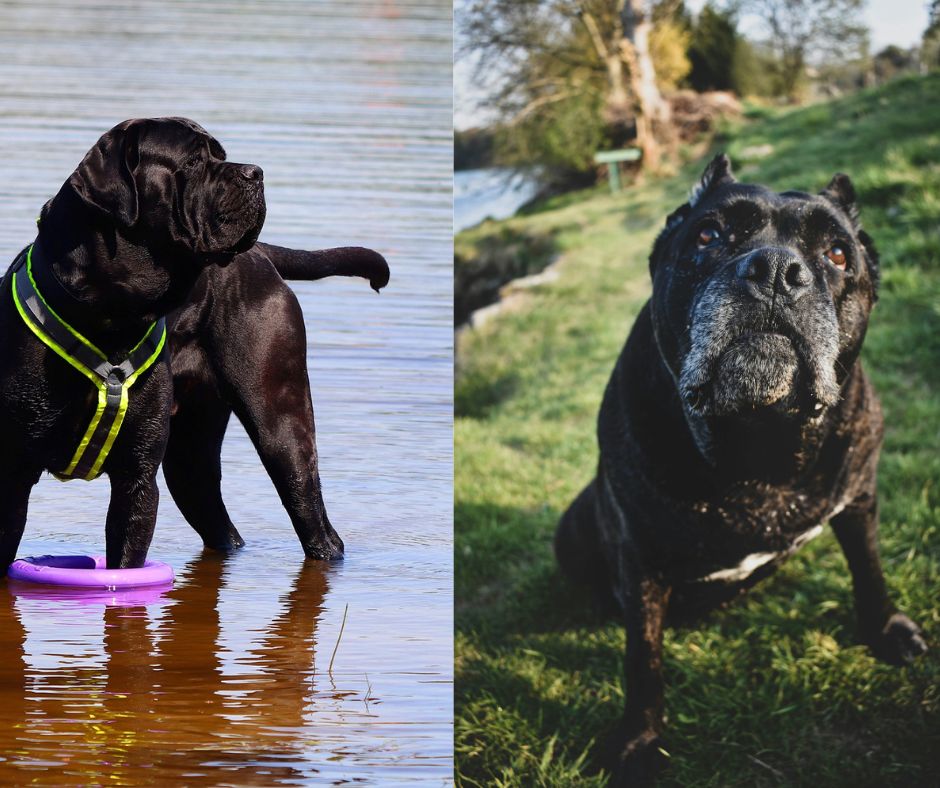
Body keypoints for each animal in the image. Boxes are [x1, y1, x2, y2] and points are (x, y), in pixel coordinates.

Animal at [0, 117, 388, 568]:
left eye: (221, 155)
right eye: (193, 161)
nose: (255, 172)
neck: (111, 316)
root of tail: (261, 255)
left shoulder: (137, 480)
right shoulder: (12, 475)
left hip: (281, 427)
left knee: (314, 518)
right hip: (191, 457)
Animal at [556, 155, 928, 788]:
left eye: (837, 254)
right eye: (708, 236)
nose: (776, 269)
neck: (759, 435)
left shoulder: (859, 498)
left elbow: (870, 570)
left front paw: (887, 632)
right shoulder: (639, 553)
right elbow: (642, 657)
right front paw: (638, 740)